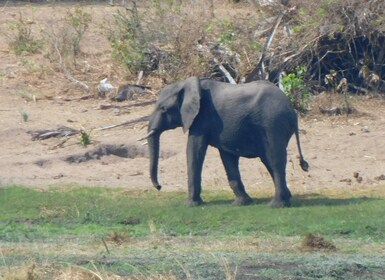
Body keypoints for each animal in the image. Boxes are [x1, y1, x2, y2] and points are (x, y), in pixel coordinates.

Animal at [141, 75, 308, 207]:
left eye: (163, 109)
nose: (159, 187)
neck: (187, 84)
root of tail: (292, 109)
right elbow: (227, 157)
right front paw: (241, 203)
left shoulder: (201, 119)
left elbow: (194, 151)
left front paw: (190, 205)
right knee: (268, 160)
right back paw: (287, 198)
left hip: (273, 123)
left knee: (274, 159)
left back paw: (276, 205)